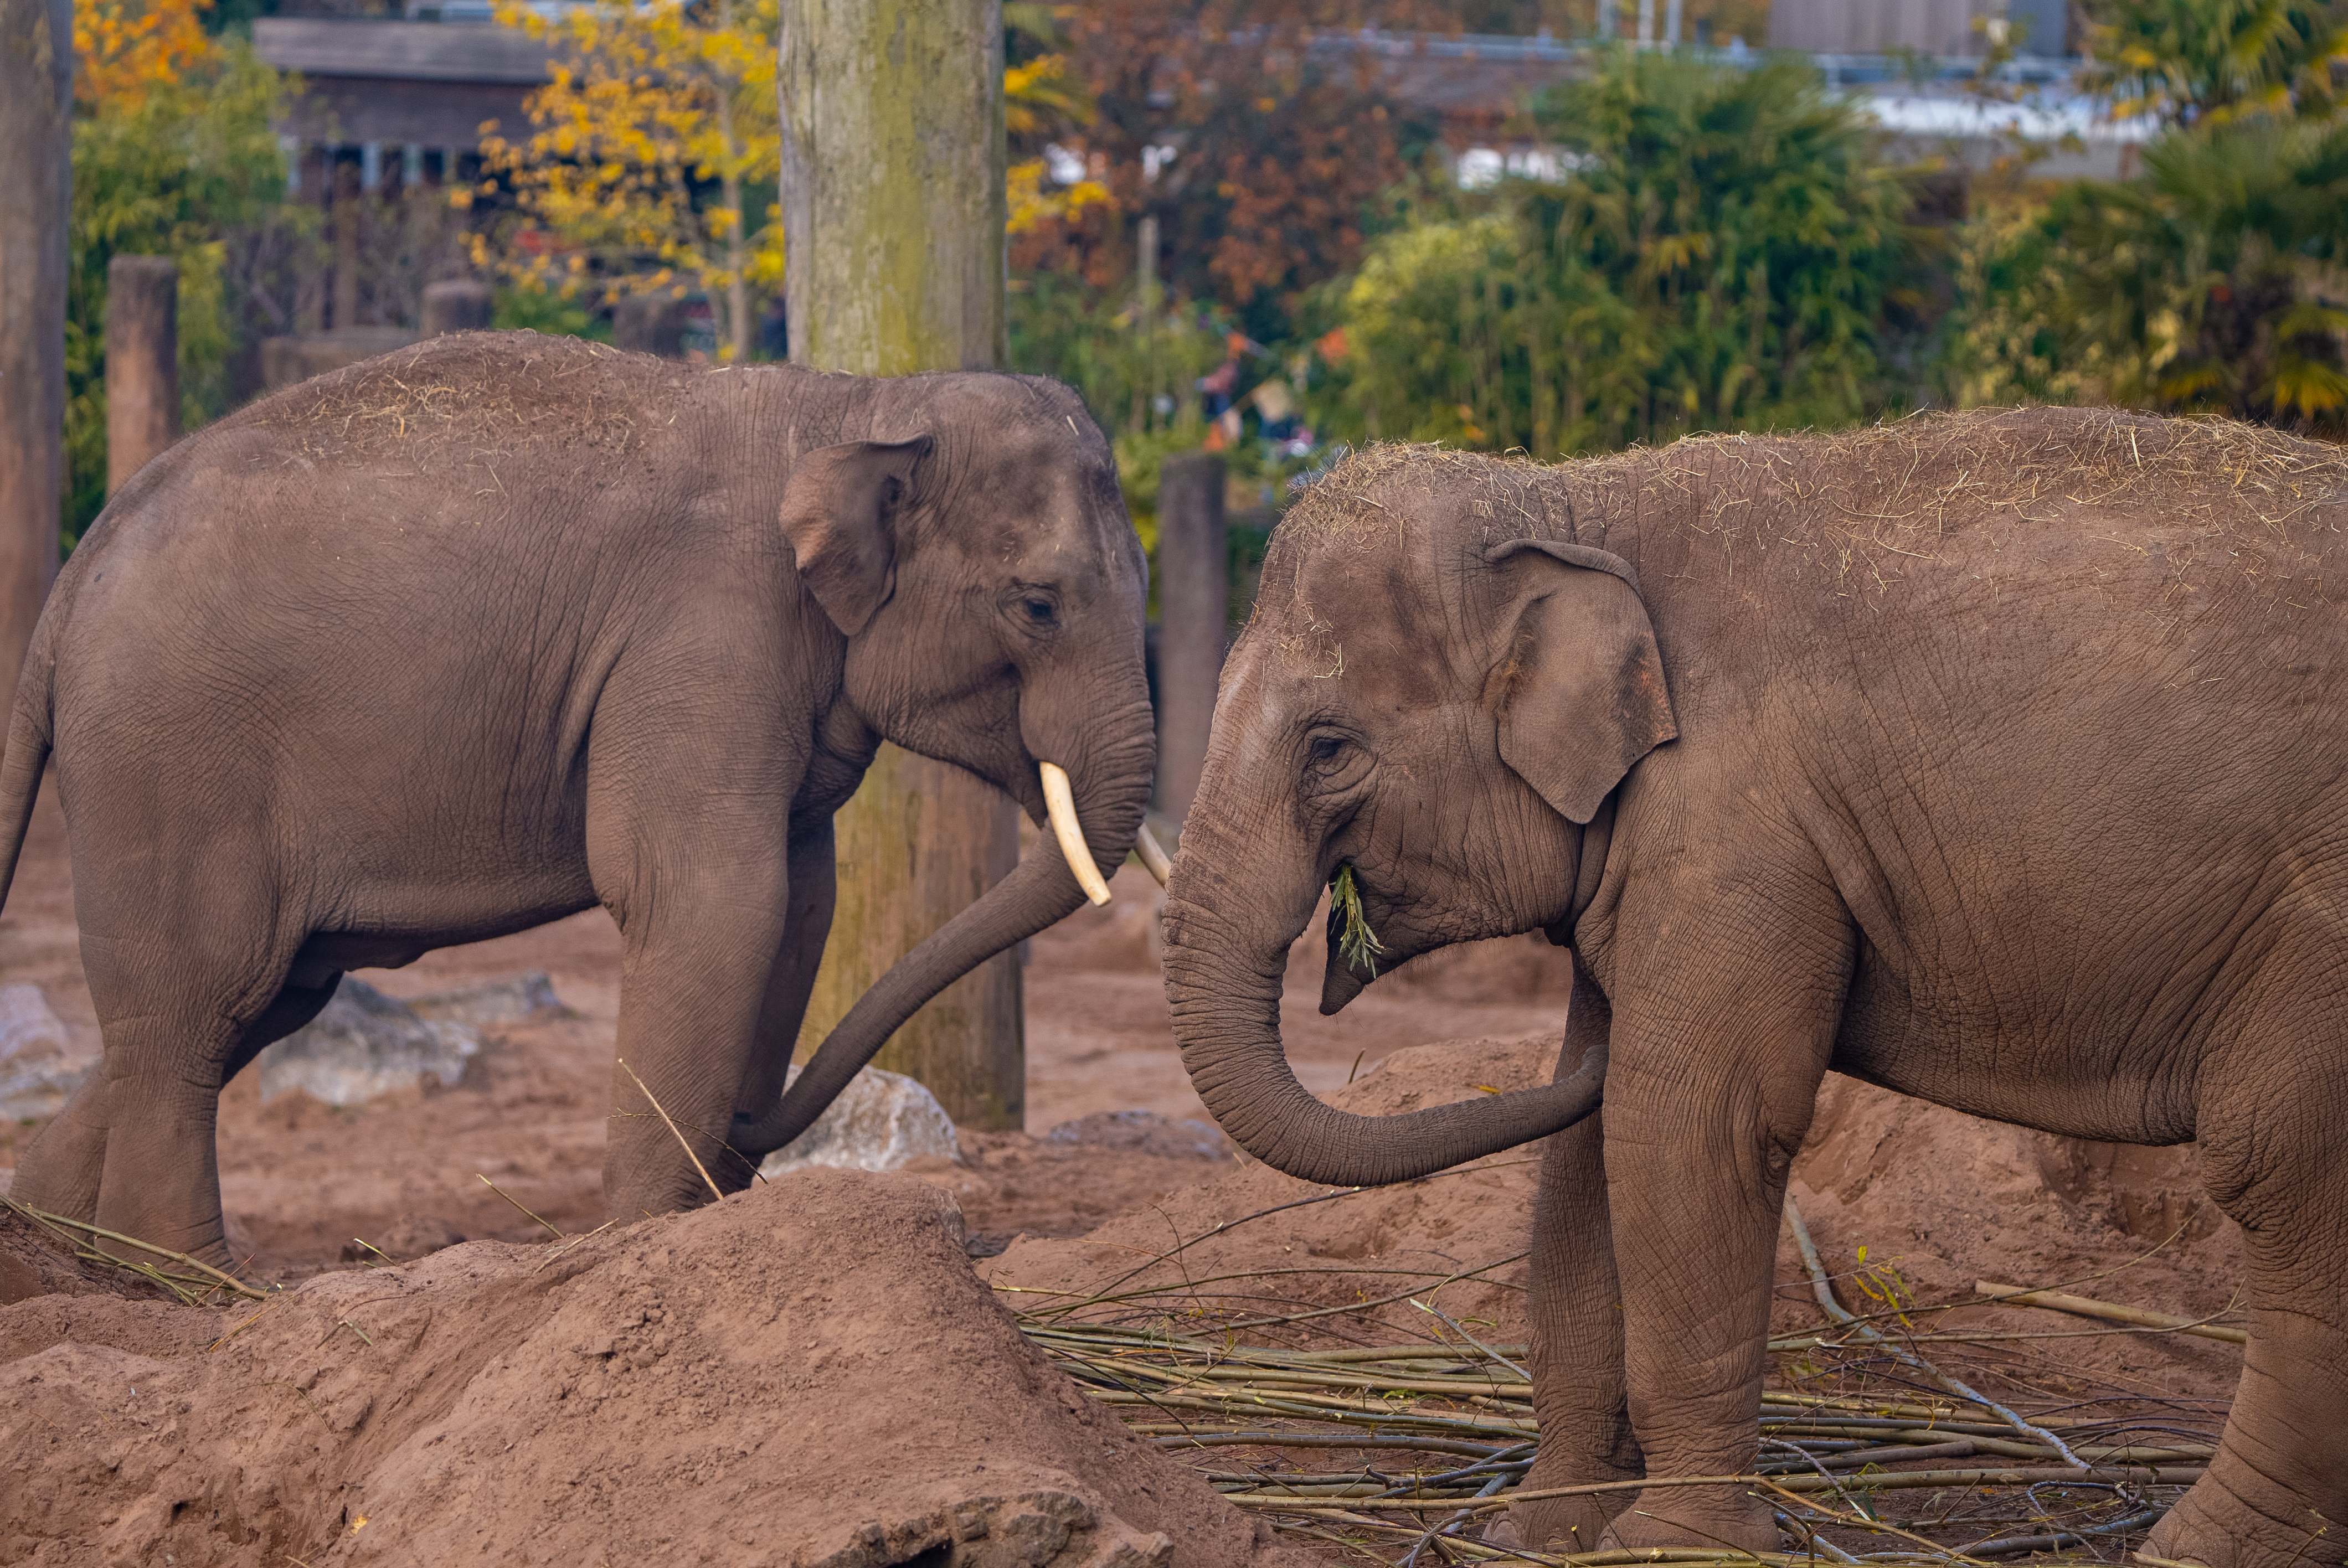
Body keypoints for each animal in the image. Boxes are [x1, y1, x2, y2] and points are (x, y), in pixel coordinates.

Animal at [2, 330, 1159, 1269]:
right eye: (1039, 605)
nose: (749, 1123)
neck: (856, 406)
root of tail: (69, 583)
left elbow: (800, 903)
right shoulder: (703, 638)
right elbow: (712, 899)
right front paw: (647, 1237)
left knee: (258, 999)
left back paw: (68, 1255)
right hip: (169, 760)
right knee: (200, 1003)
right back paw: (202, 1286)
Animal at [1159, 407, 2348, 1565]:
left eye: (1328, 748)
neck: (1576, 498)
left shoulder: (1736, 825)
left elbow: (1688, 1120)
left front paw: (1672, 1546)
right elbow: (1592, 1141)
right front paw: (1540, 1530)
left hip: (2317, 929)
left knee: (2284, 1170)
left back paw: (2198, 1546)